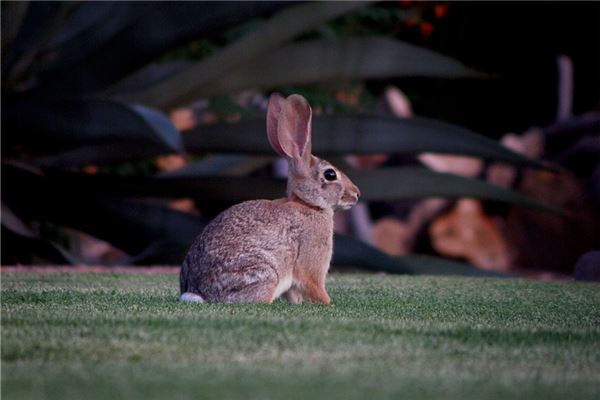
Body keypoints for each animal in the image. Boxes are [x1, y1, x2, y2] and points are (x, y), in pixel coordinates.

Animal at [179, 94, 360, 304]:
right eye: (330, 174)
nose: (356, 194)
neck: (308, 204)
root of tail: (197, 292)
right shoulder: (311, 260)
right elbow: (314, 285)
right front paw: (328, 303)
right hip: (265, 274)